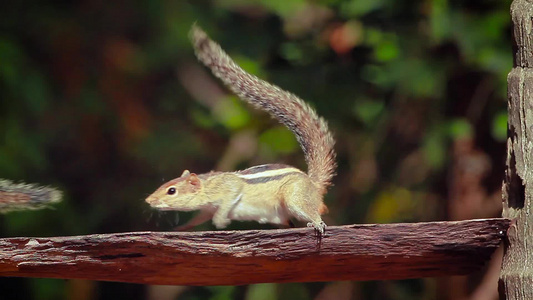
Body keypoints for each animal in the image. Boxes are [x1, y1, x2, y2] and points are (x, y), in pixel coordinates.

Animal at [144, 24, 336, 233]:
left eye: (172, 191)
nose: (148, 200)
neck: (206, 185)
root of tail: (313, 185)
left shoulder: (229, 188)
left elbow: (226, 203)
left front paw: (221, 221)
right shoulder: (207, 209)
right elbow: (199, 218)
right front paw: (181, 228)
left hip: (295, 198)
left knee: (311, 211)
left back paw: (316, 223)